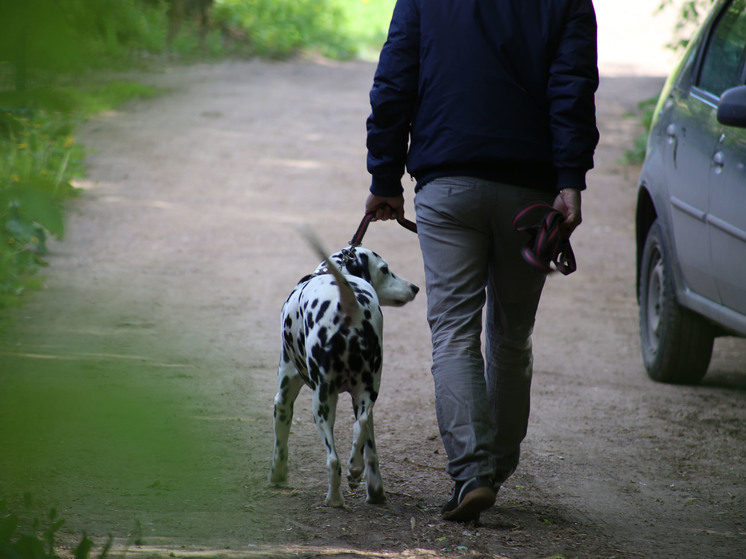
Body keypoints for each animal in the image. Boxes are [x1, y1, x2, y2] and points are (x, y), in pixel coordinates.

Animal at [268, 232, 418, 508]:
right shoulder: (363, 402)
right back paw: (355, 471)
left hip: (322, 403)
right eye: (385, 269)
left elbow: (280, 445)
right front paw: (375, 490)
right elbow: (370, 449)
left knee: (333, 460)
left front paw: (277, 474)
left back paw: (334, 499)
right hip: (364, 395)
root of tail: (349, 303)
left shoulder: (283, 398)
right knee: (359, 432)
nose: (415, 287)